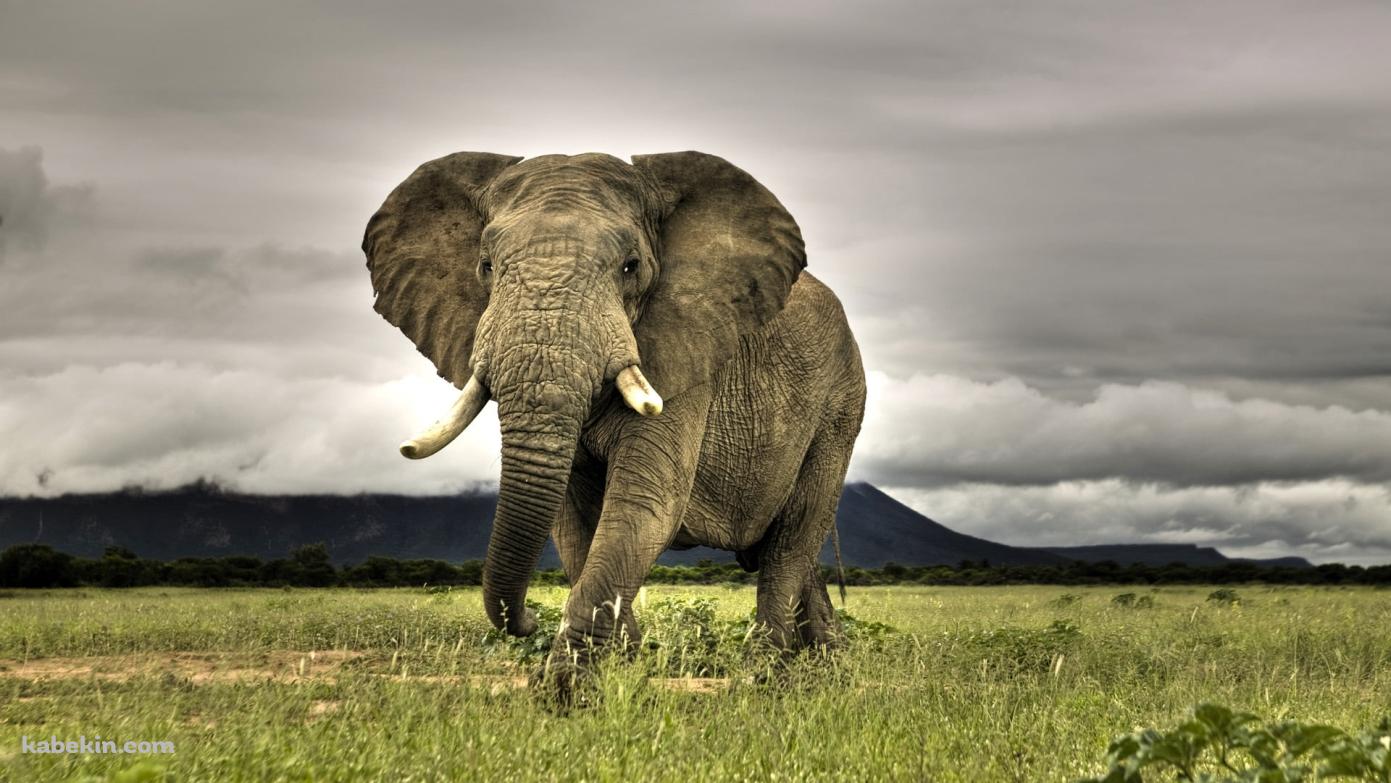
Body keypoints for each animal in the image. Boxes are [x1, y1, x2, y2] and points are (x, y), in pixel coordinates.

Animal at [361, 150, 865, 690]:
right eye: (486, 266)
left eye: (631, 267)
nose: (527, 620)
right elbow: (573, 522)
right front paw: (623, 668)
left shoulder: (685, 353)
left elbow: (644, 504)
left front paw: (565, 692)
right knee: (792, 551)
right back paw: (828, 664)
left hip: (840, 405)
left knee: (790, 541)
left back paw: (764, 677)